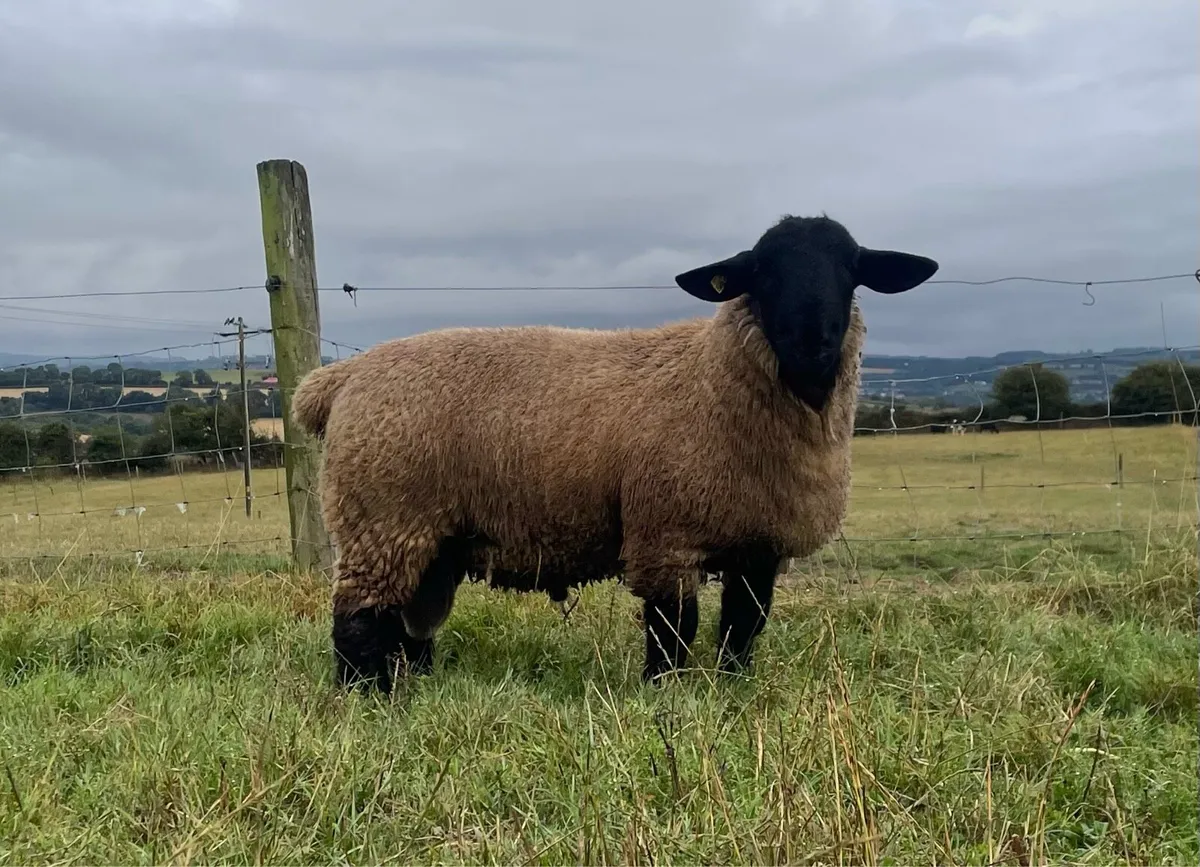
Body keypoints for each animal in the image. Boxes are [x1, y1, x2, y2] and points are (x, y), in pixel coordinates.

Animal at [291, 214, 938, 691]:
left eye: (851, 270)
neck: (713, 378)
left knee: (408, 621)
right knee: (357, 620)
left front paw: (734, 692)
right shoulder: (664, 534)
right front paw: (664, 697)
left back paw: (415, 686)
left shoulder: (761, 544)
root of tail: (340, 379)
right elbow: (673, 632)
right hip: (382, 517)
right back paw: (367, 699)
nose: (812, 341)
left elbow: (742, 628)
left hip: (430, 536)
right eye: (760, 272)